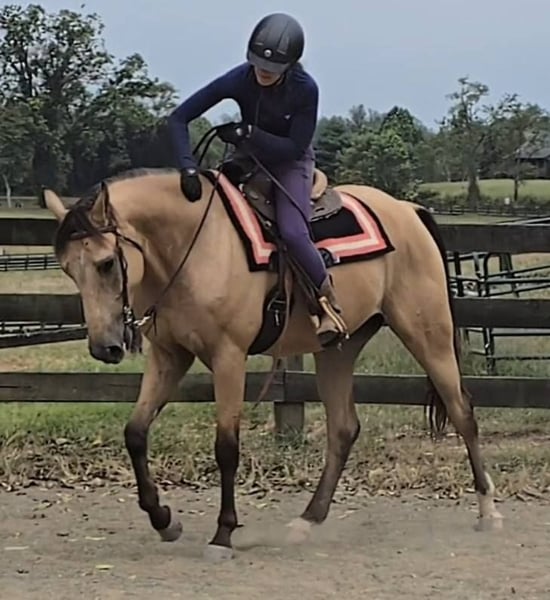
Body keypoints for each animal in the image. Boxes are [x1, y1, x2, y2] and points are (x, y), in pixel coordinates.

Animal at [42, 164, 503, 560]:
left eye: (105, 263)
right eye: (67, 269)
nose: (104, 348)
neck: (196, 245)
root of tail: (408, 210)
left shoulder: (228, 357)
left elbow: (226, 446)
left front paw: (223, 533)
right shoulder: (170, 355)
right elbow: (135, 433)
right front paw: (164, 520)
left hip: (428, 333)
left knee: (462, 412)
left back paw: (488, 511)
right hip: (338, 350)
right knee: (343, 428)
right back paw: (306, 522)